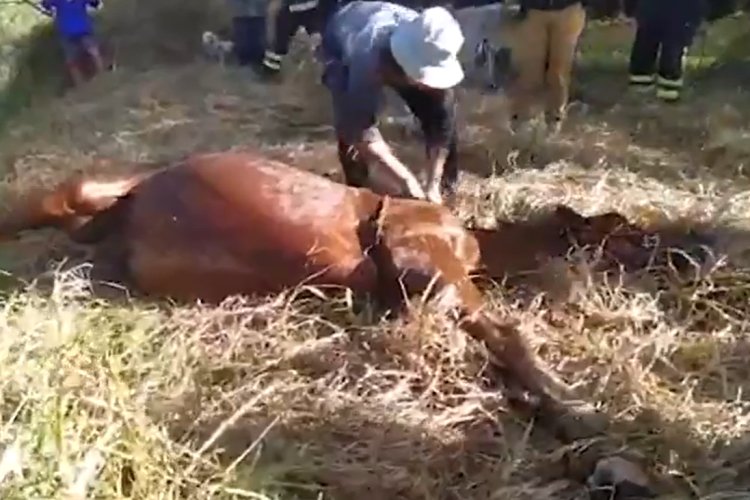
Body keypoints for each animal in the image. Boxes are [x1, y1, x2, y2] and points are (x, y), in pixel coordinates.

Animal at [0, 150, 712, 440]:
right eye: (631, 231)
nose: (704, 246)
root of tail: (120, 216)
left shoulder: (409, 283)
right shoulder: (423, 258)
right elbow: (499, 331)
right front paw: (572, 406)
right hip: (88, 186)